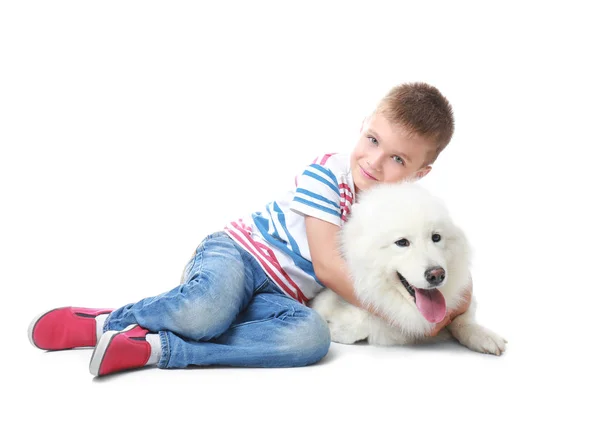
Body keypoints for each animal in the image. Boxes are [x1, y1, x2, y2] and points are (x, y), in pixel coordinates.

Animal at [310, 181, 506, 354]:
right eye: (402, 242)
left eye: (436, 237)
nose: (437, 274)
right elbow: (358, 323)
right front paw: (337, 328)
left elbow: (463, 319)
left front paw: (484, 336)